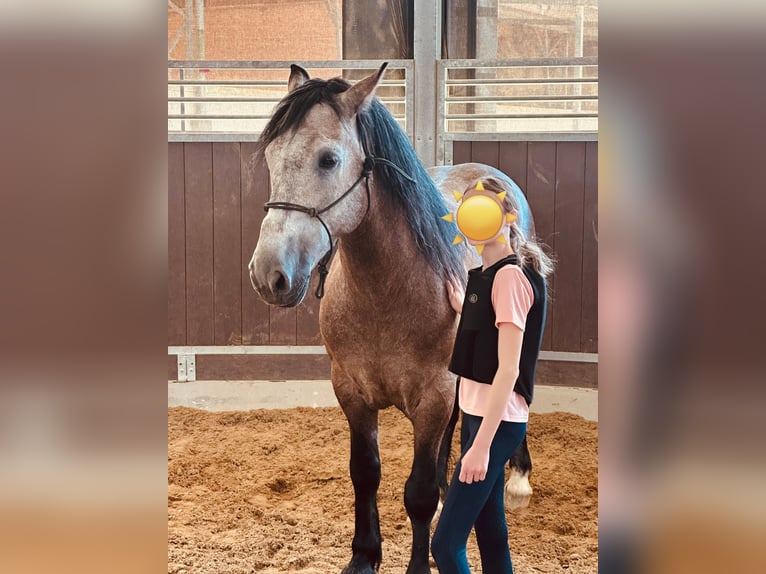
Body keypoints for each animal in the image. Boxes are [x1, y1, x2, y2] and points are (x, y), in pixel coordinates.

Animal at [248, 63, 534, 574]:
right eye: (272, 157)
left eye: (328, 159)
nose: (268, 275)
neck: (385, 296)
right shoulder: (352, 392)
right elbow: (366, 474)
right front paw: (364, 556)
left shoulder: (433, 396)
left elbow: (416, 493)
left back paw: (517, 480)